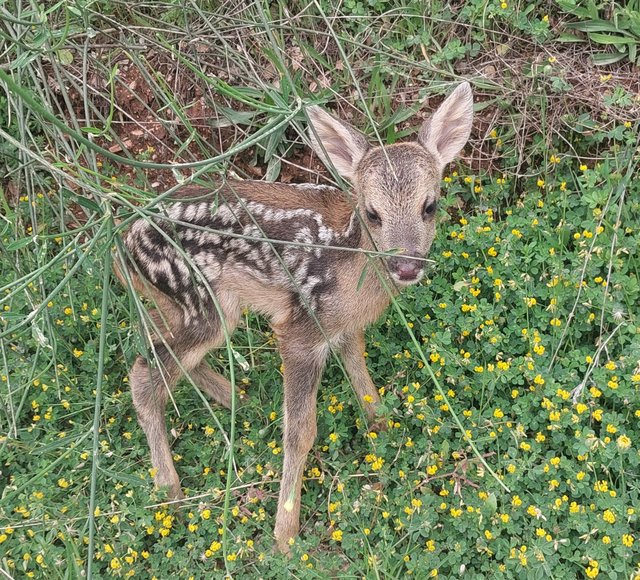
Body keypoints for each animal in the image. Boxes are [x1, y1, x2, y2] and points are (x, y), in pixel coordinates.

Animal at [120, 80, 472, 548]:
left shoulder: (343, 327)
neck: (351, 266)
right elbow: (300, 432)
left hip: (185, 305)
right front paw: (285, 534)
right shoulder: (300, 329)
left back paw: (238, 399)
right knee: (145, 373)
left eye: (429, 206)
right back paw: (171, 491)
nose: (406, 266)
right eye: (372, 213)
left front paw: (384, 426)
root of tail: (124, 244)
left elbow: (362, 381)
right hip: (202, 301)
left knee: (158, 350)